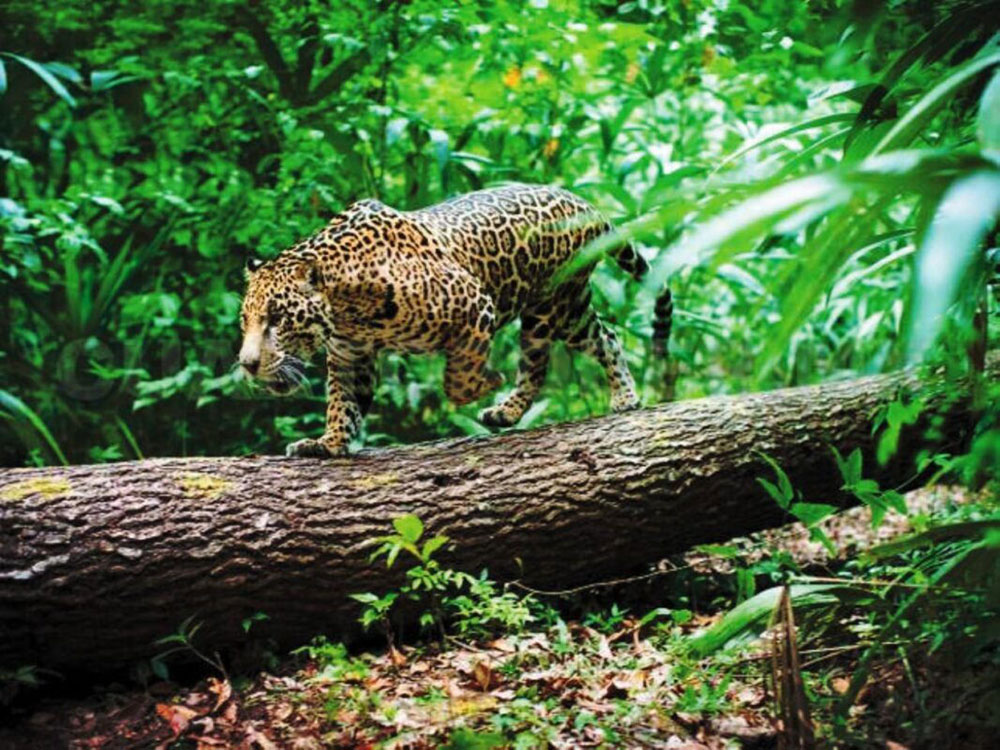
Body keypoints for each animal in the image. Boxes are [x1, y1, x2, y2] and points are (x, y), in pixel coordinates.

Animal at [238, 183, 673, 457]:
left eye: (278, 318)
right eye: (246, 321)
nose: (247, 363)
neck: (347, 306)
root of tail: (583, 204)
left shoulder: (476, 303)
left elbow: (458, 380)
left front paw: (484, 381)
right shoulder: (350, 354)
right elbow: (342, 403)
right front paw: (328, 444)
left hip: (553, 306)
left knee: (551, 360)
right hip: (567, 308)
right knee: (596, 341)